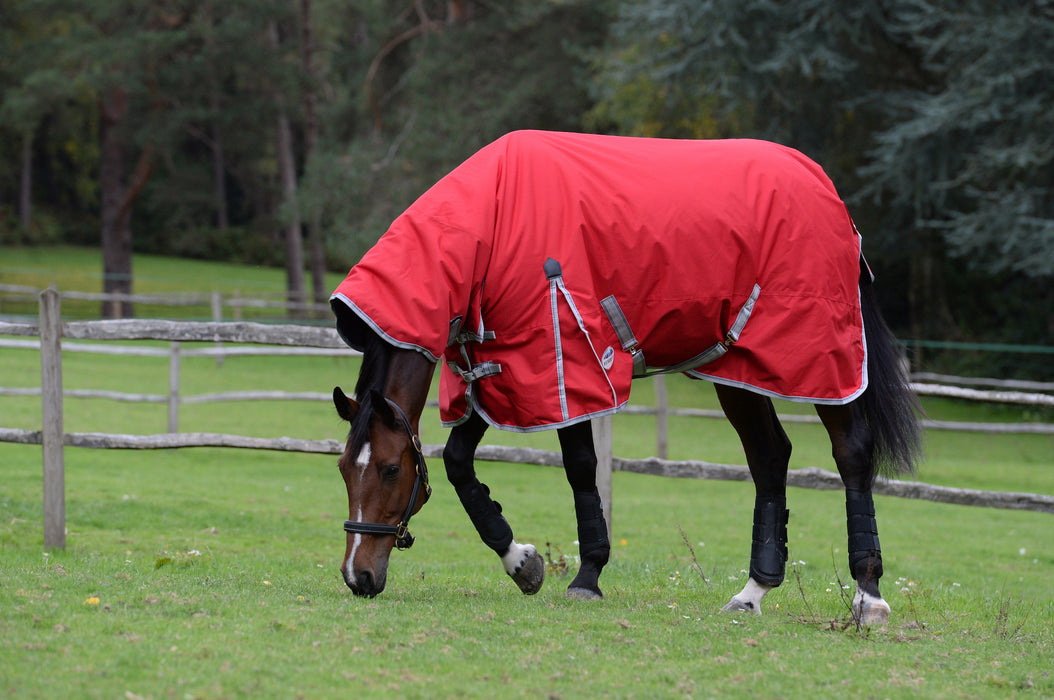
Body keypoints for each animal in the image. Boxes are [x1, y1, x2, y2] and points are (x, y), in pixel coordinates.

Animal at [328, 129, 923, 624]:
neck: (493, 221)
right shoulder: (503, 372)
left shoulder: (565, 362)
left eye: (388, 469)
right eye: (342, 470)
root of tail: (826, 189)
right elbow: (456, 462)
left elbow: (579, 466)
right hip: (738, 369)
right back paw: (753, 591)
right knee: (770, 457)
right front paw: (521, 562)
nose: (358, 576)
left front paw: (586, 576)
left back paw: (868, 595)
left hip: (820, 359)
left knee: (852, 452)